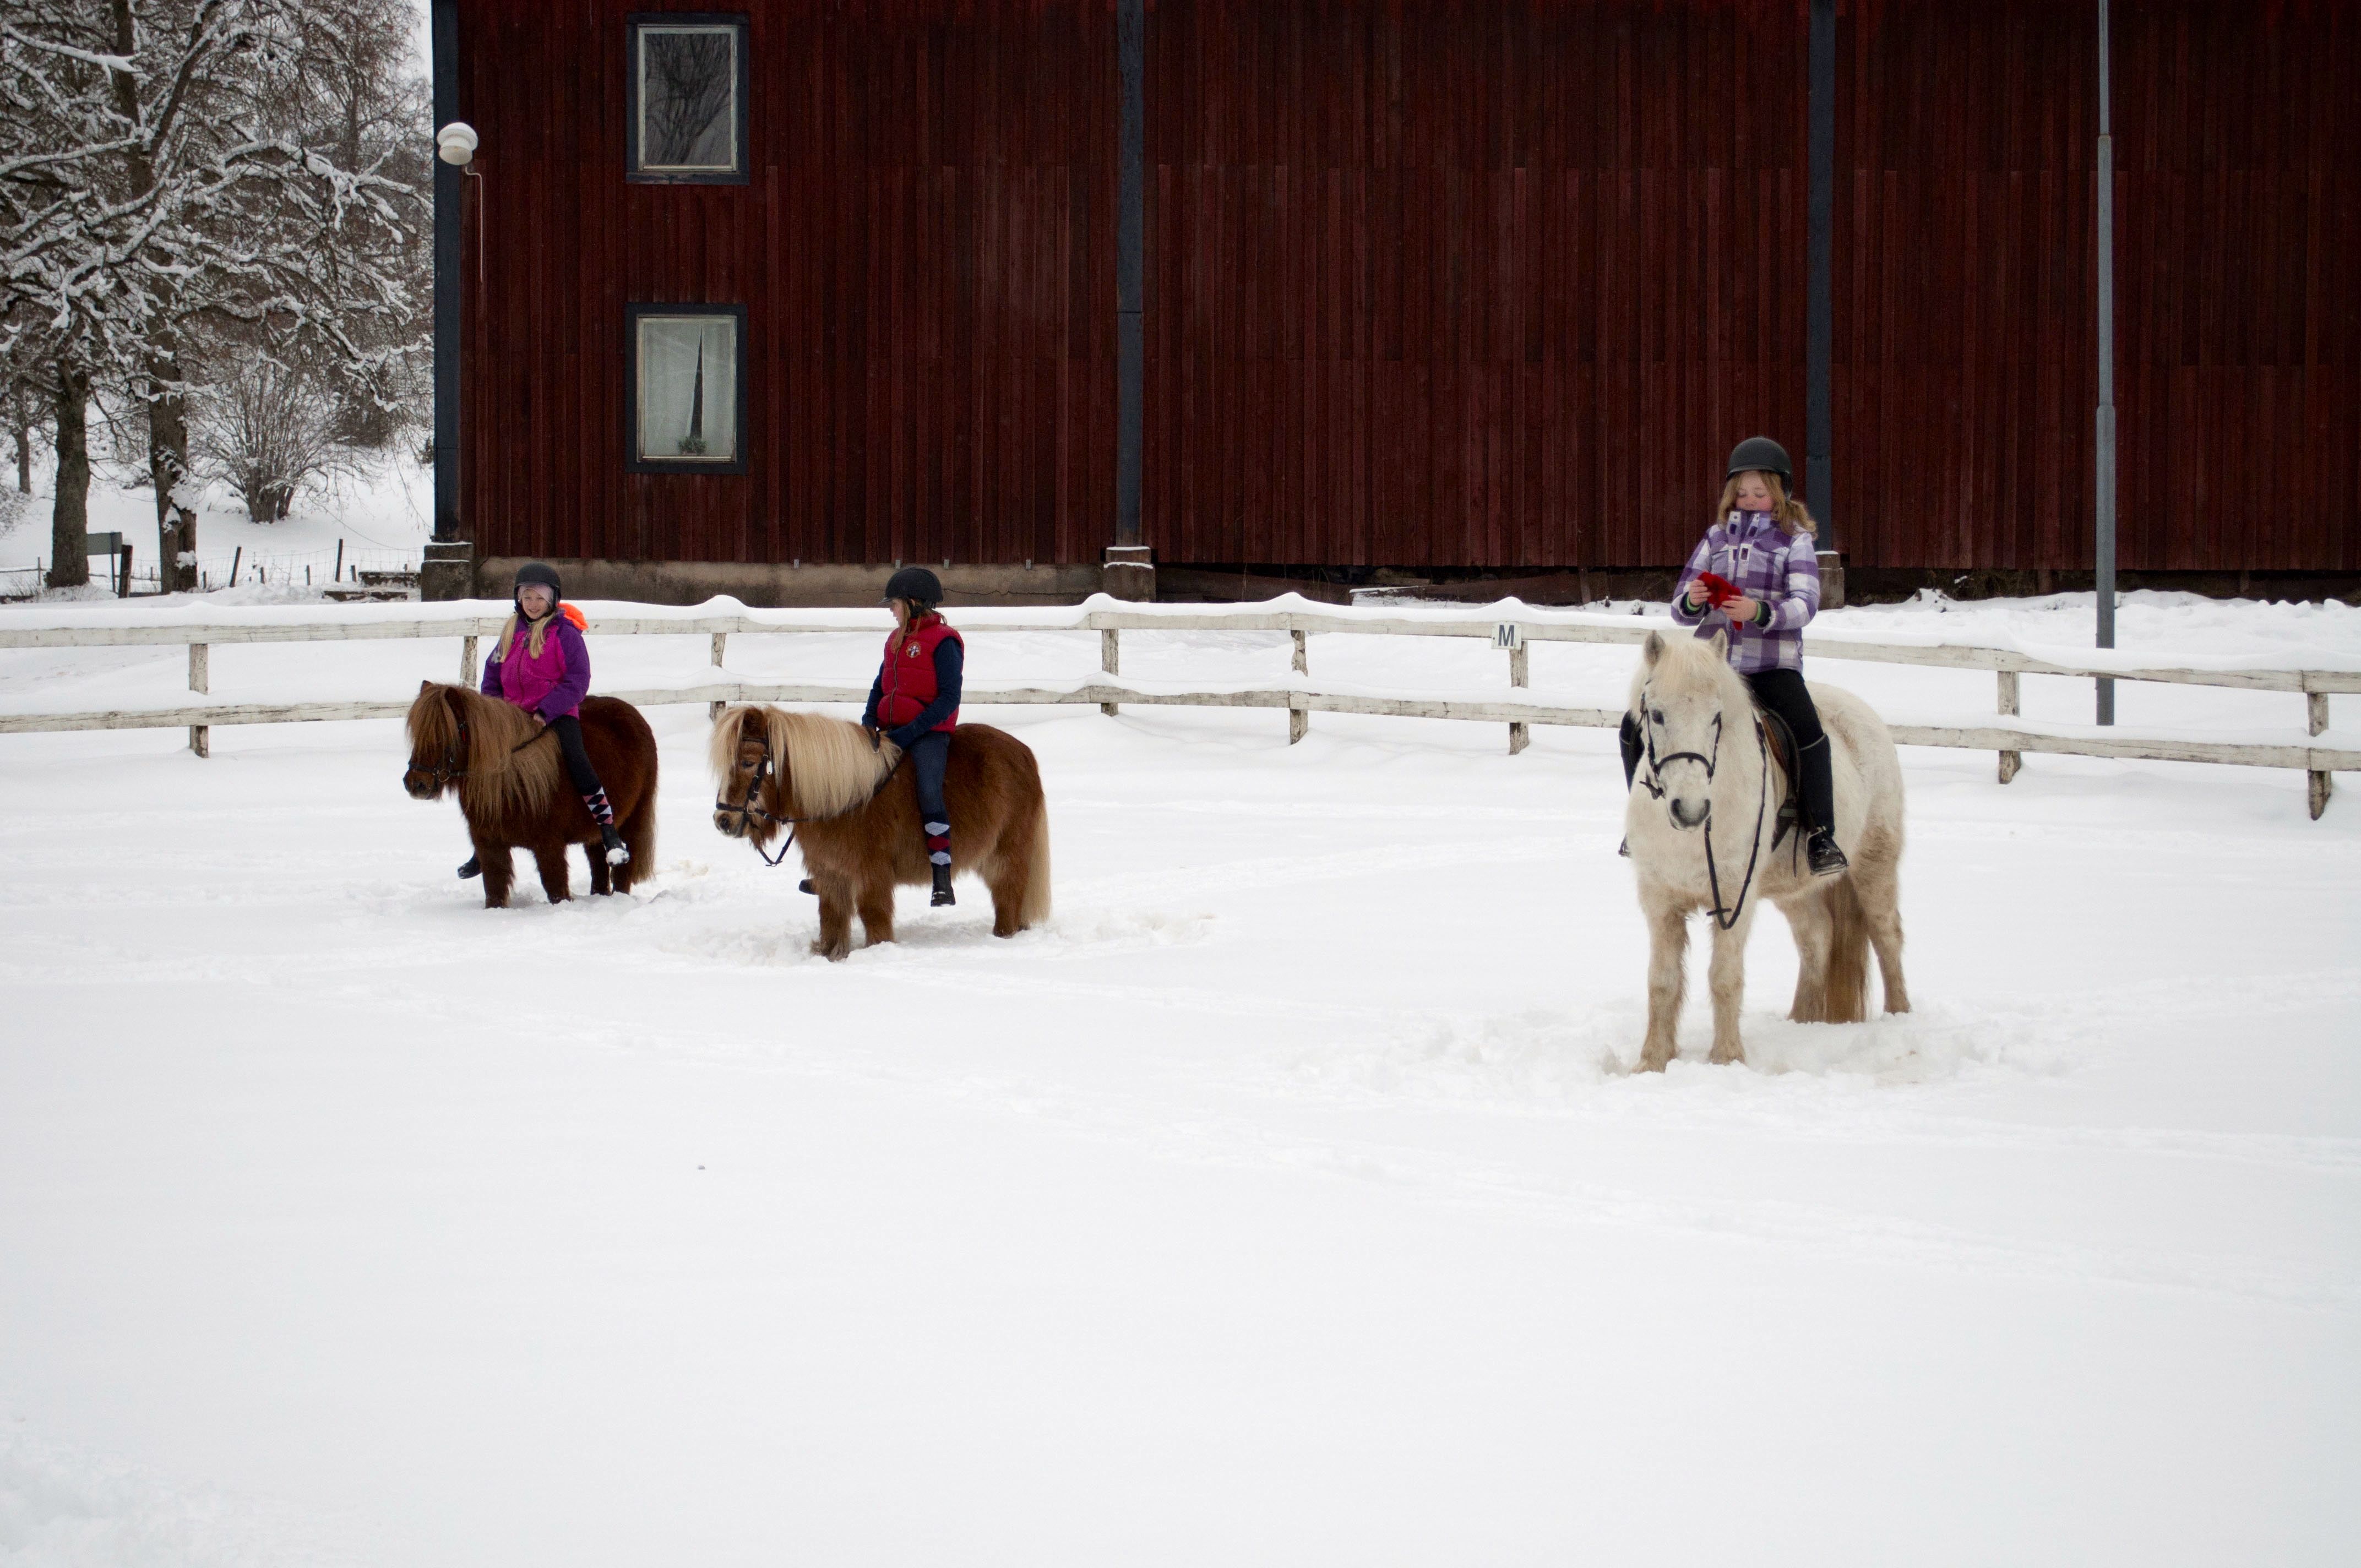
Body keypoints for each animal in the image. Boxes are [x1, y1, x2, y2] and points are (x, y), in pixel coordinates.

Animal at [402, 683, 659, 908]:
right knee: (598, 865)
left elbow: (556, 890)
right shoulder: (489, 846)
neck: (511, 781)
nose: (415, 783)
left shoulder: (549, 846)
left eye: (443, 734)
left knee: (623, 871)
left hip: (633, 819)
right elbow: (494, 892)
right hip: (593, 835)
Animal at [708, 705, 1052, 960]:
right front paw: (831, 955)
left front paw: (879, 950)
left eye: (748, 762)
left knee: (1008, 897)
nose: (722, 820)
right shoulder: (831, 875)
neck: (842, 797)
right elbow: (831, 920)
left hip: (1006, 856)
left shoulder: (871, 875)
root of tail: (1024, 754)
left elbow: (874, 917)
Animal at [1623, 629, 1909, 1070]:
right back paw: (1802, 1022)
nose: (1691, 810)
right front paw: (1653, 1062)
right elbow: (1662, 983)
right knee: (1817, 938)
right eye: (1656, 715)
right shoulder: (1659, 900)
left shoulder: (1733, 899)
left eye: (1716, 717)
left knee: (1887, 935)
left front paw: (1726, 1059)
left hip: (1875, 863)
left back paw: (1899, 1018)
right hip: (1795, 889)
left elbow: (1724, 978)